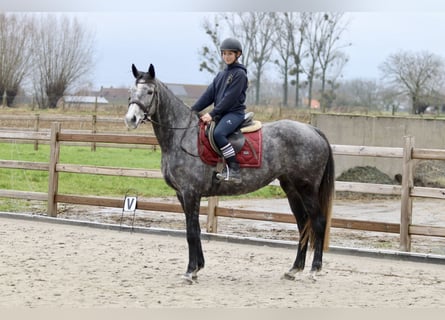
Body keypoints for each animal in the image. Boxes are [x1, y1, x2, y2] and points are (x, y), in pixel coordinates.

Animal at [125, 63, 332, 282]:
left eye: (150, 91)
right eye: (131, 91)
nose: (130, 119)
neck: (182, 136)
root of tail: (312, 130)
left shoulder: (191, 193)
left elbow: (191, 232)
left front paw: (190, 271)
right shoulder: (182, 194)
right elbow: (196, 229)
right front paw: (198, 267)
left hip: (307, 188)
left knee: (318, 222)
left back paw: (314, 269)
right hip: (292, 189)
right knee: (303, 223)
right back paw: (294, 269)